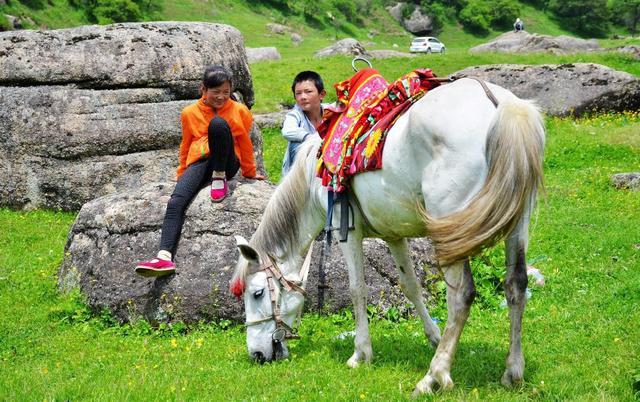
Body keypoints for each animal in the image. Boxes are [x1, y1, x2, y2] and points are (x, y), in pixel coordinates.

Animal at [230, 77, 544, 394]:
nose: (257, 354)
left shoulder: (347, 232)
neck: (313, 174)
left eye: (257, 293)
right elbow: (410, 286)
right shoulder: (394, 234)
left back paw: (434, 376)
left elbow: (357, 289)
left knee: (461, 296)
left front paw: (360, 354)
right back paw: (512, 371)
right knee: (516, 284)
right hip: (517, 223)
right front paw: (434, 337)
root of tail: (500, 105)